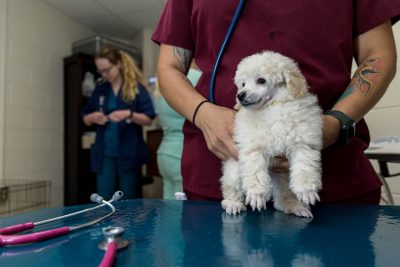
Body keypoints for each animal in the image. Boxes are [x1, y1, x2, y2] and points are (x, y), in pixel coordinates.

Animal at [220, 50, 324, 218]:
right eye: (243, 84)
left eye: (261, 80)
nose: (240, 95)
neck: (273, 108)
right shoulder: (253, 147)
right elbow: (255, 170)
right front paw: (256, 195)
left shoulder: (303, 142)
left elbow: (304, 165)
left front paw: (306, 190)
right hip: (234, 171)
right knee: (231, 187)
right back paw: (233, 203)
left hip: (283, 175)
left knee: (282, 197)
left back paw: (294, 205)